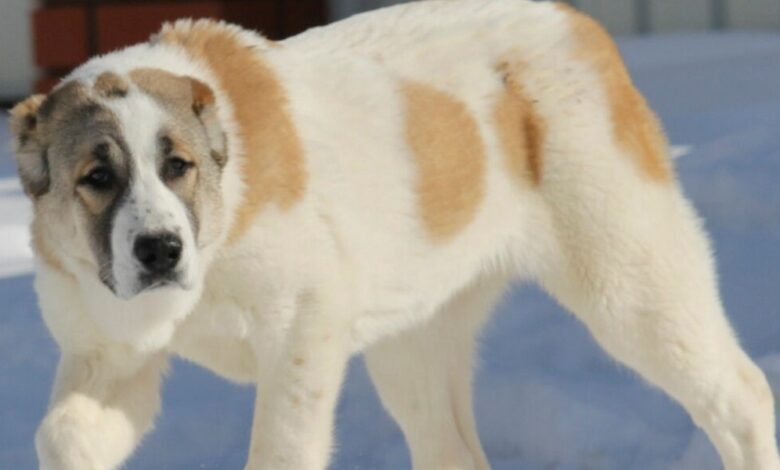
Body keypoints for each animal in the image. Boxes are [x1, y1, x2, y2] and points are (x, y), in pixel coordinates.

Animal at [9, 1, 779, 468]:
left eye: (178, 166)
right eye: (96, 178)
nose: (161, 250)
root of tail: (574, 22)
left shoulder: (303, 328)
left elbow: (279, 447)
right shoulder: (109, 355)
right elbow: (61, 434)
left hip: (630, 280)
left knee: (742, 396)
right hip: (415, 340)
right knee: (451, 450)